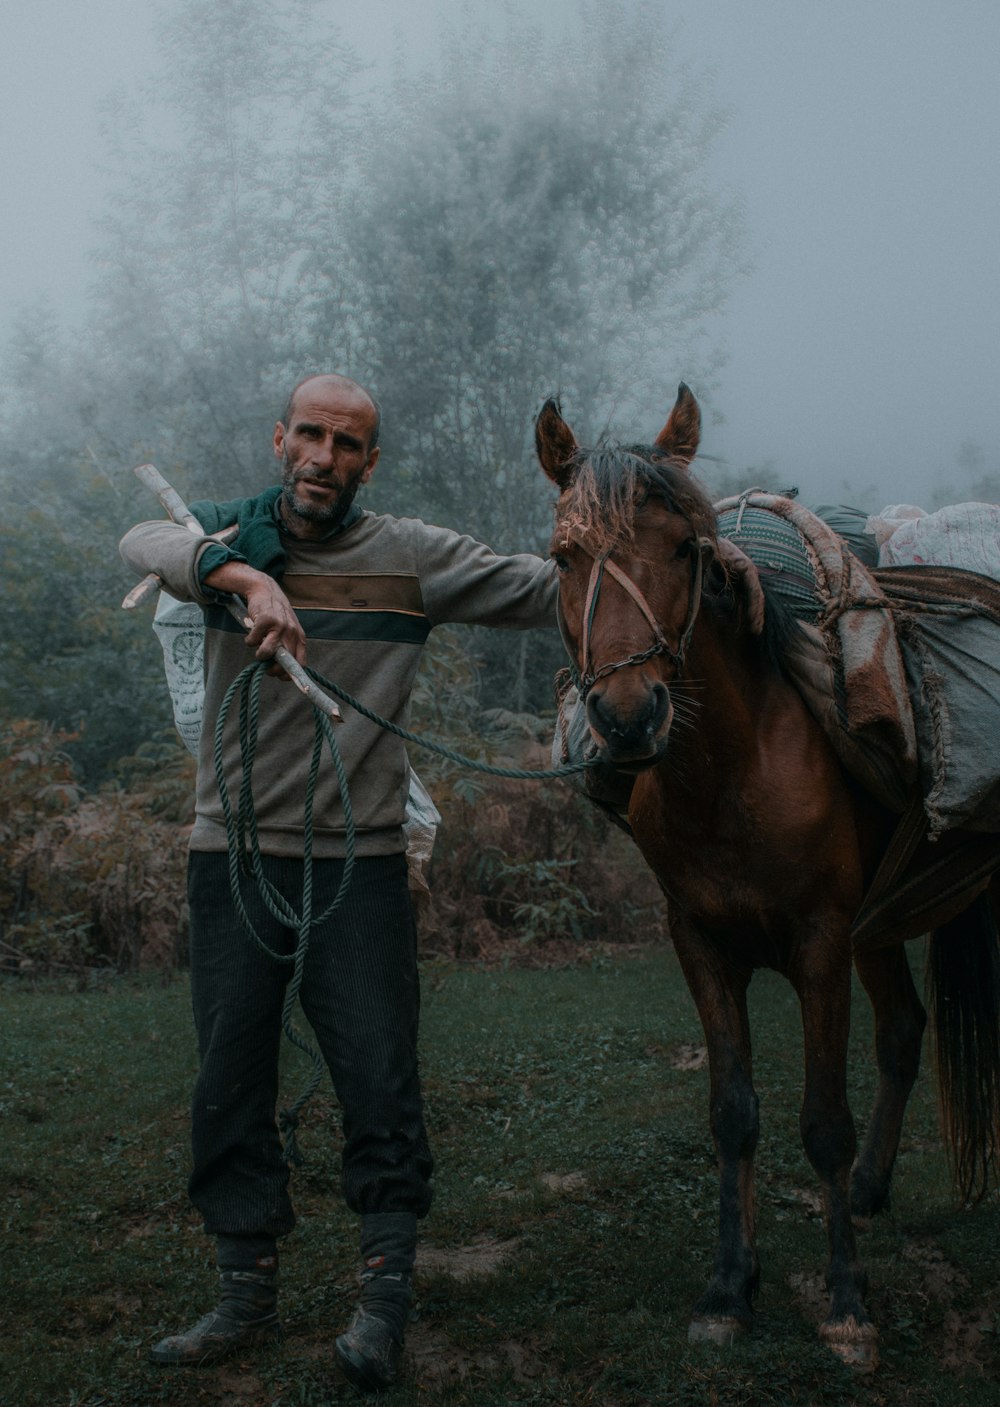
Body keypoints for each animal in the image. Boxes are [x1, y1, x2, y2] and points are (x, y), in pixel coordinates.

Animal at [537, 382, 1000, 1361]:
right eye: (564, 555)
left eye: (687, 547)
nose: (628, 717)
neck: (731, 770)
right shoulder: (701, 940)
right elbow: (733, 1111)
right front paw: (728, 1284)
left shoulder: (820, 940)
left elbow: (822, 1122)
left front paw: (846, 1299)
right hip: (881, 914)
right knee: (904, 1029)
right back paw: (869, 1191)